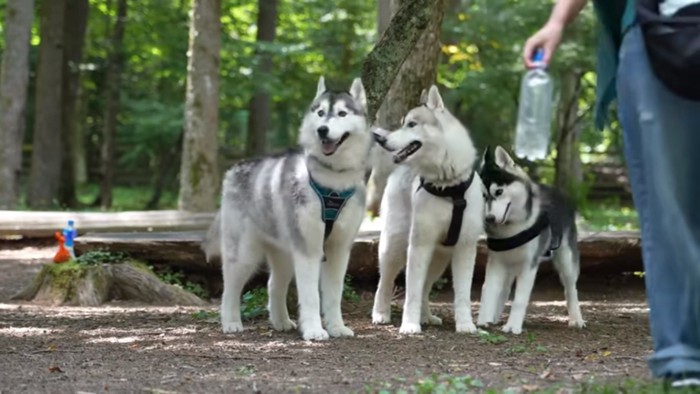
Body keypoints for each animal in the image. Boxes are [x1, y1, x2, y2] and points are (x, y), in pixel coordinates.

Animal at [202, 75, 372, 340]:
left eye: (342, 113)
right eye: (320, 113)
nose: (322, 130)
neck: (333, 179)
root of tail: (235, 168)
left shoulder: (339, 249)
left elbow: (334, 294)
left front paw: (336, 326)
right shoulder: (309, 249)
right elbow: (311, 296)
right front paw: (314, 330)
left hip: (284, 252)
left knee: (274, 284)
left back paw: (280, 320)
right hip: (243, 253)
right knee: (230, 287)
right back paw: (230, 322)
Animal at [372, 84, 486, 334]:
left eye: (412, 124)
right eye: (403, 123)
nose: (381, 139)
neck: (450, 186)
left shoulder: (465, 248)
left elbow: (462, 295)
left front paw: (466, 325)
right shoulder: (419, 245)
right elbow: (411, 293)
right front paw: (409, 325)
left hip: (439, 259)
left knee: (425, 286)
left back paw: (426, 316)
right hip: (394, 247)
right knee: (384, 282)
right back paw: (381, 314)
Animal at [476, 146, 584, 334]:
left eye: (499, 191)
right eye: (483, 195)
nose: (489, 218)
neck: (513, 228)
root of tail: (559, 192)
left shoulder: (529, 265)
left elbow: (519, 299)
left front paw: (513, 326)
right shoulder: (496, 262)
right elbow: (488, 290)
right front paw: (484, 320)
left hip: (567, 259)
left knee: (571, 288)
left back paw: (576, 319)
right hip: (509, 263)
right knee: (504, 289)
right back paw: (495, 317)